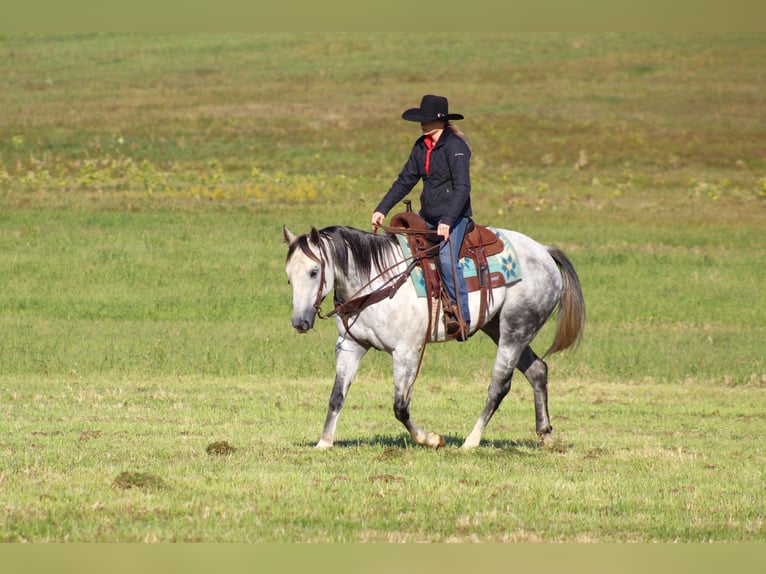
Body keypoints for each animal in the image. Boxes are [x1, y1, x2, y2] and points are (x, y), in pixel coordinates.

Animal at [284, 224, 584, 450]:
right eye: (288, 277)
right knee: (537, 370)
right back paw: (545, 435)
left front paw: (430, 439)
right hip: (498, 328)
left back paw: (471, 442)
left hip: (515, 329)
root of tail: (544, 252)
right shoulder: (350, 346)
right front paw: (324, 442)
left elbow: (400, 407)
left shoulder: (406, 352)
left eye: (313, 271)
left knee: (499, 386)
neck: (377, 282)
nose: (299, 322)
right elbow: (337, 396)